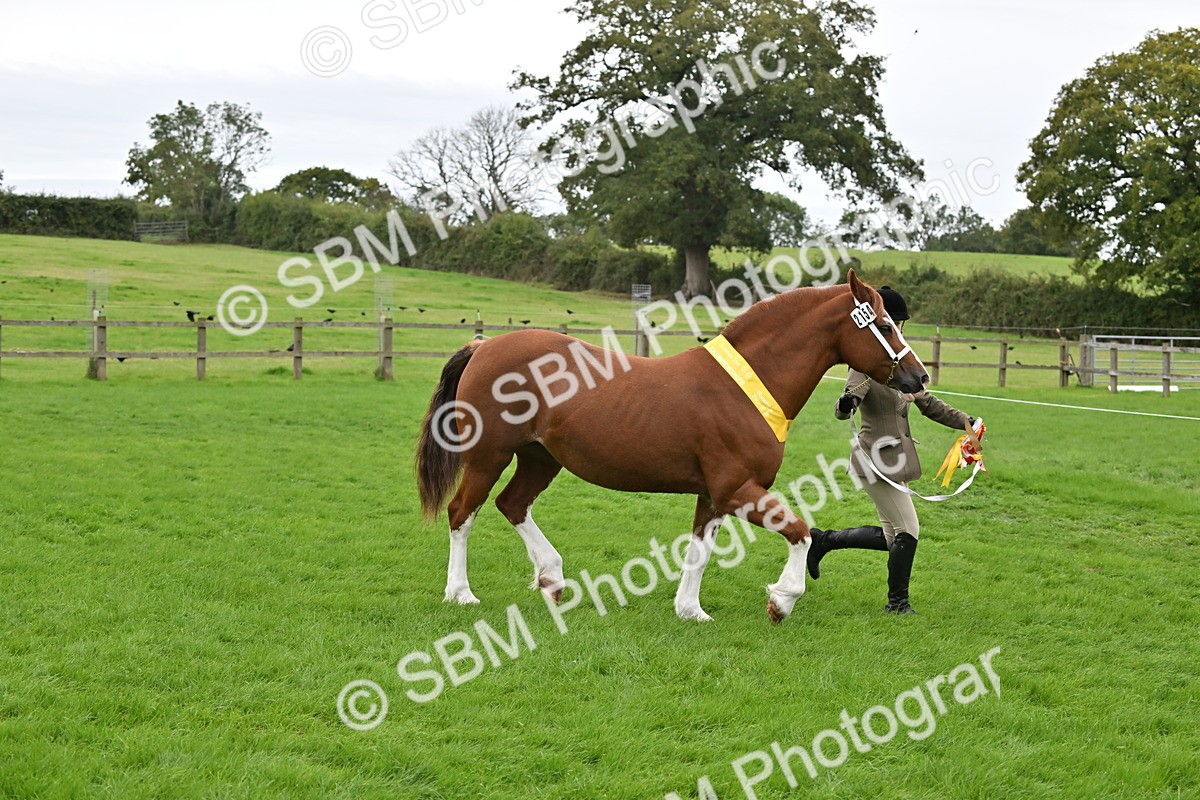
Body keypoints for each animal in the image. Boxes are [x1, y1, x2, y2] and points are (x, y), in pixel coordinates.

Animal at [415, 270, 928, 623]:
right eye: (884, 324)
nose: (919, 376)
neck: (746, 386)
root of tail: (483, 347)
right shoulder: (735, 489)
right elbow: (800, 532)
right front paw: (782, 600)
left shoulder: (713, 495)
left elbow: (700, 549)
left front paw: (690, 609)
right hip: (488, 457)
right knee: (462, 512)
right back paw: (460, 592)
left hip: (540, 459)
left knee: (512, 504)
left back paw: (552, 578)